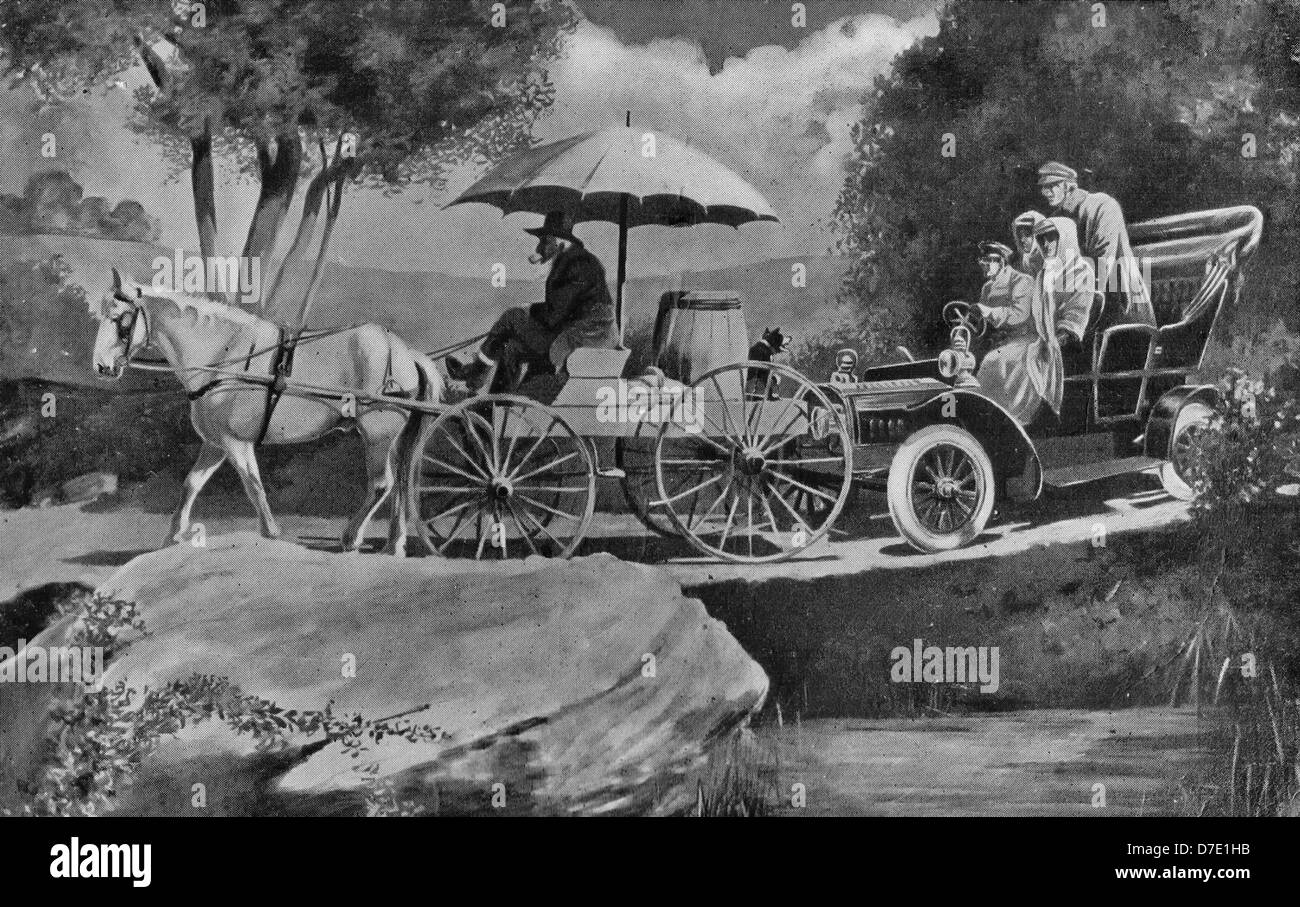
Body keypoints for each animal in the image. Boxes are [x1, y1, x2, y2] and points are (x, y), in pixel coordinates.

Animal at [91, 265, 444, 553]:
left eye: (119, 319)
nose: (101, 366)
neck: (224, 354)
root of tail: (404, 352)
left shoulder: (236, 442)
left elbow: (253, 485)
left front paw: (270, 533)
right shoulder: (215, 444)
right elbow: (192, 483)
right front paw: (174, 536)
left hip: (377, 434)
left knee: (382, 483)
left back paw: (352, 537)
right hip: (392, 437)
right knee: (401, 480)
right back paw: (393, 544)